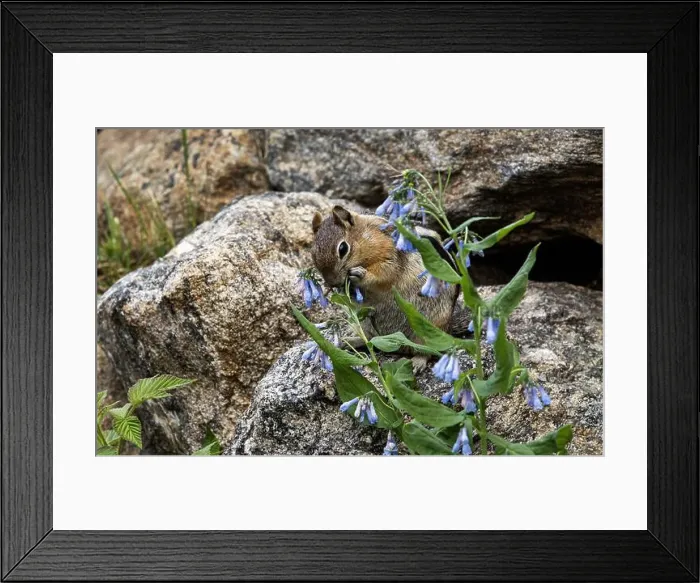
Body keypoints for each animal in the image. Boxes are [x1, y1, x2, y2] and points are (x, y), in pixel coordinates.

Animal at [311, 205, 468, 371]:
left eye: (342, 248)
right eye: (313, 253)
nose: (333, 283)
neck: (367, 236)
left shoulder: (390, 256)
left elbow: (384, 274)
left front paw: (360, 274)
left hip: (429, 330)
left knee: (426, 350)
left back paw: (417, 362)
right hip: (368, 325)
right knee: (371, 340)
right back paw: (348, 341)